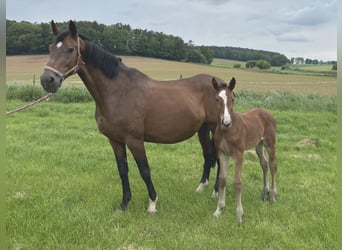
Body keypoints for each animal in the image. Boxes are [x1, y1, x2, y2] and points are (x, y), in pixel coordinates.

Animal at [212, 78, 276, 223]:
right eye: (217, 99)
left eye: (233, 98)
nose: (226, 122)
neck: (227, 131)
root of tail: (266, 112)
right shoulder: (222, 153)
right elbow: (222, 179)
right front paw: (219, 210)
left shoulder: (239, 154)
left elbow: (237, 182)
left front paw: (239, 215)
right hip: (258, 145)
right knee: (264, 165)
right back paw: (265, 193)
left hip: (270, 143)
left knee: (273, 165)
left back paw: (273, 195)